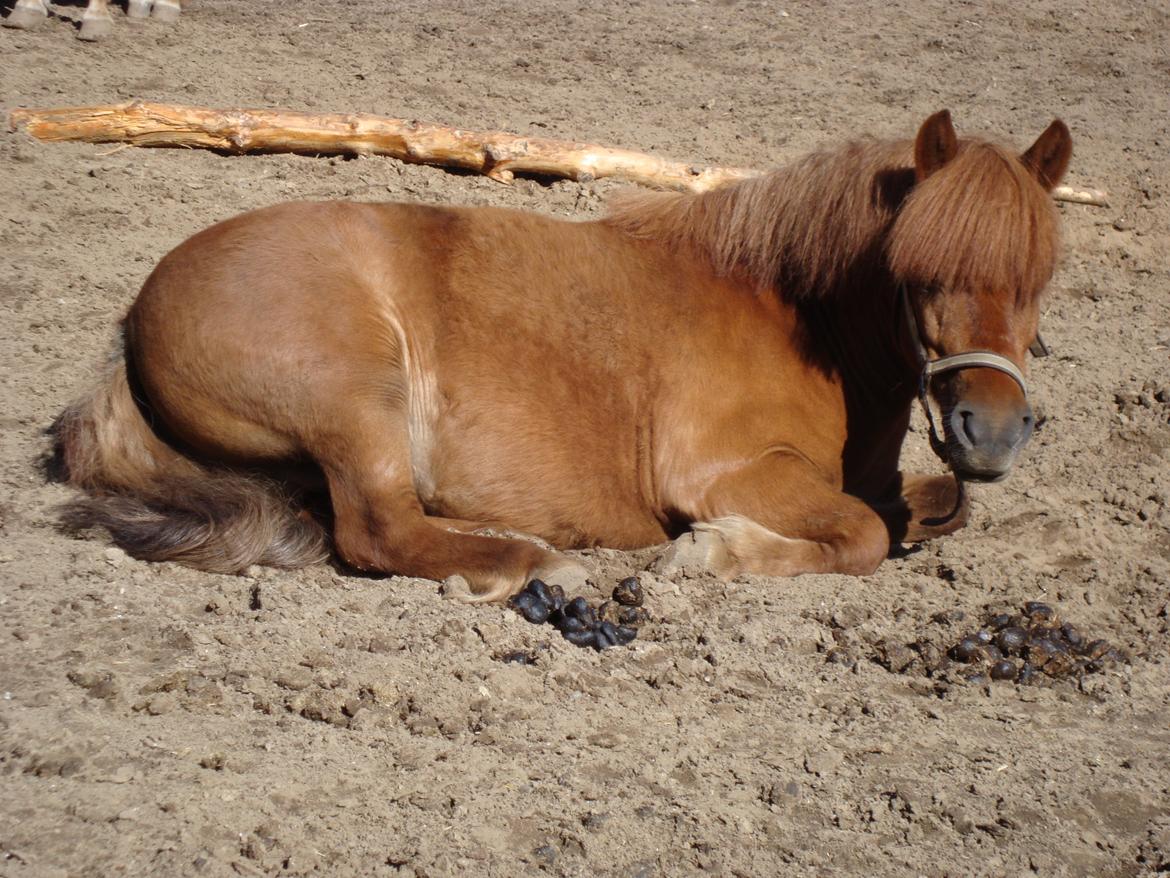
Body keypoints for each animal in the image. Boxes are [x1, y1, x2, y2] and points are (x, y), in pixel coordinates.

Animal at [52, 110, 1076, 604]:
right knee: (377, 528)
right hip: (355, 400)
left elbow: (928, 510)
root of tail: (136, 318)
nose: (991, 433)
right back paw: (532, 563)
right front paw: (716, 555)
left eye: (1041, 275)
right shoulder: (724, 471)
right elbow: (862, 536)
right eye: (916, 269)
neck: (799, 321)